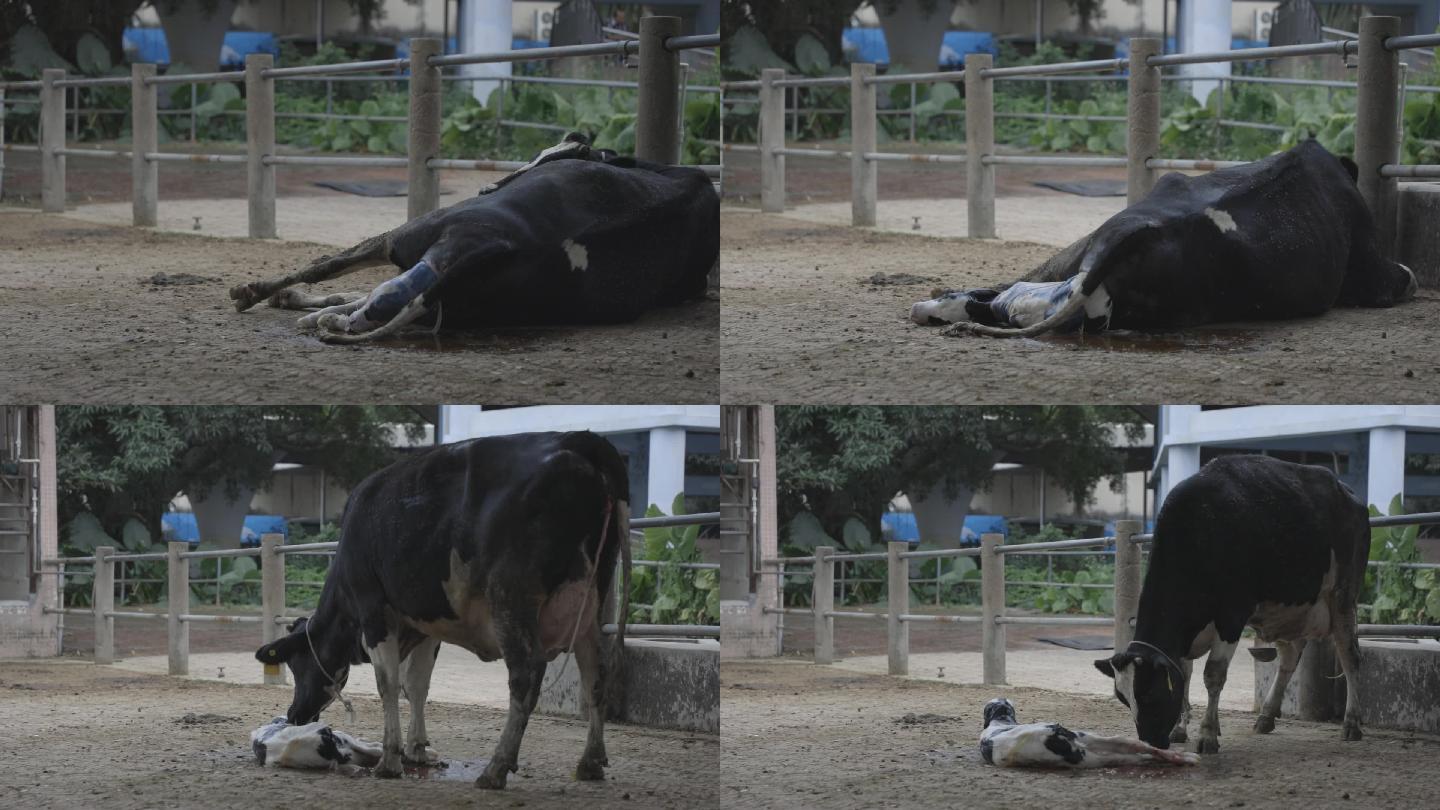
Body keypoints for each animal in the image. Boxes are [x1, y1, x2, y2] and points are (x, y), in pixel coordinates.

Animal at [230, 134, 720, 341]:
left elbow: (329, 269)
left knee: (371, 290)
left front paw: (261, 293)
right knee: (384, 298)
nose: (492, 184)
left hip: (415, 233)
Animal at [252, 432, 630, 784]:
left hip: (511, 594)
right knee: (596, 673)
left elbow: (388, 683)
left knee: (526, 674)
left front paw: (391, 759)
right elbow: (417, 684)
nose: (295, 713)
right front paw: (417, 749)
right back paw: (590, 762)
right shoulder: (426, 624)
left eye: (297, 664)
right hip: (592, 599)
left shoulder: (373, 611)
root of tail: (580, 439)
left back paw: (496, 768)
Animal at [1094, 455, 1365, 749]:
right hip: (1284, 612)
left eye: (1150, 694)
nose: (1150, 742)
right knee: (1289, 659)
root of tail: (1346, 491)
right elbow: (1184, 674)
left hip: (1343, 596)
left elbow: (1213, 675)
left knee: (1349, 656)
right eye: (1124, 700)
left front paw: (1208, 734)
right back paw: (1266, 717)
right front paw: (1180, 729)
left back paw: (1352, 723)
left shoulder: (1232, 617)